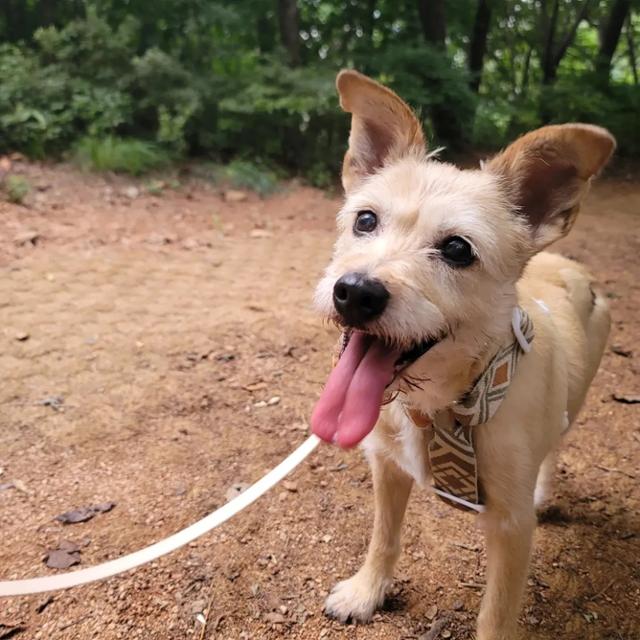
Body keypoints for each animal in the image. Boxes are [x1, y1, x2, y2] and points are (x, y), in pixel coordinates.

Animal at [310, 70, 616, 640]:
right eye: (365, 220)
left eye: (457, 249)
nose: (355, 292)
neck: (442, 408)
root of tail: (571, 264)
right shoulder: (386, 468)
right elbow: (384, 537)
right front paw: (367, 591)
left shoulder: (511, 527)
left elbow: (496, 612)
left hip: (575, 402)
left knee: (556, 445)